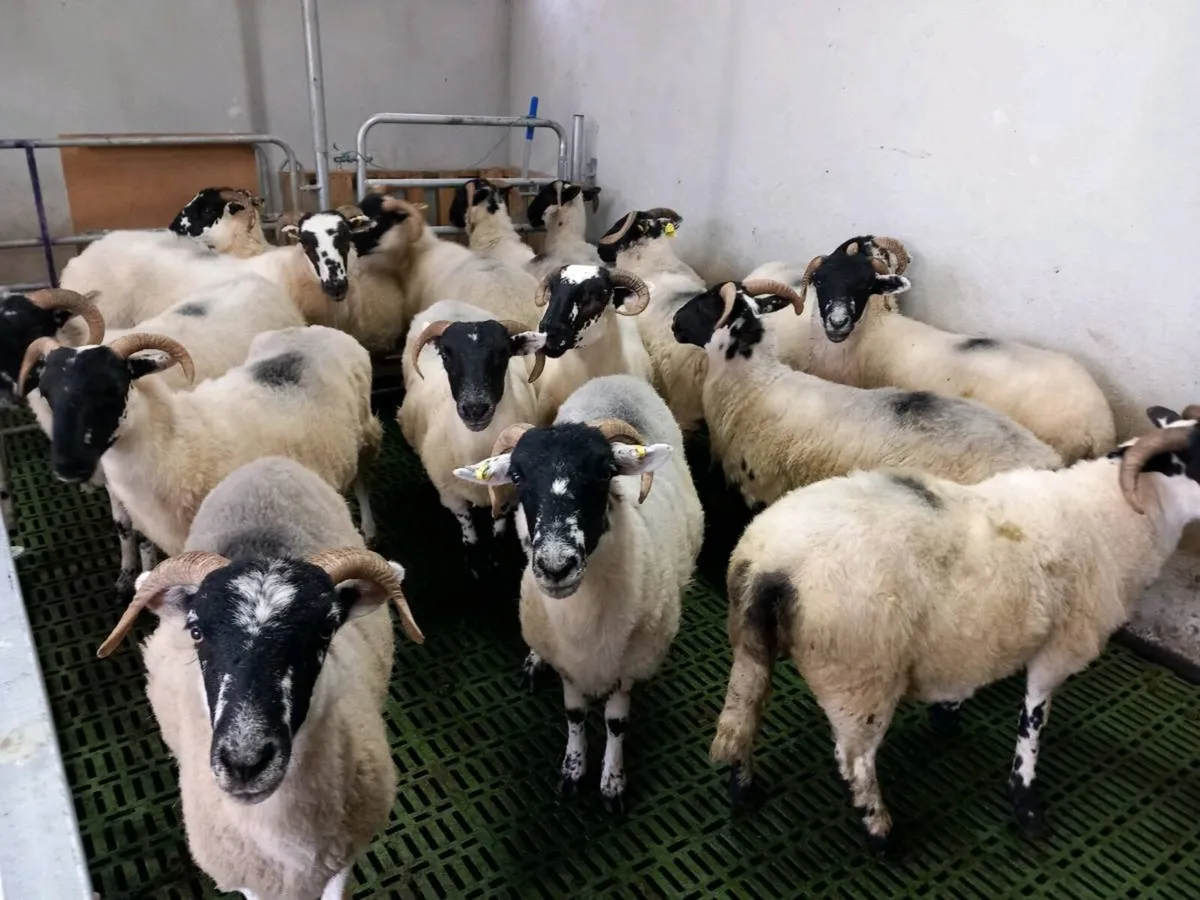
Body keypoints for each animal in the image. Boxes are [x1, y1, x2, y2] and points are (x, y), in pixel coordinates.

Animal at [19, 324, 382, 591]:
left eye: (113, 388)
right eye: (46, 393)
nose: (69, 466)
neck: (180, 444)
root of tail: (320, 329)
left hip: (365, 430)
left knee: (363, 475)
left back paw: (369, 526)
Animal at [95, 455, 423, 900]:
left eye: (326, 629)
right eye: (195, 630)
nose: (245, 762)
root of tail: (269, 462)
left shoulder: (342, 859)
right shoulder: (250, 878)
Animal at [398, 300, 545, 576]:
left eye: (503, 353)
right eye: (446, 355)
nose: (475, 409)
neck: (477, 448)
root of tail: (450, 302)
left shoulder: (507, 493)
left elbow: (499, 524)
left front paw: (495, 558)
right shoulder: (451, 496)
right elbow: (468, 528)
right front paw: (475, 561)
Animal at [453, 374, 704, 811]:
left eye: (605, 472)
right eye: (516, 477)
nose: (556, 567)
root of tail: (619, 378)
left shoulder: (629, 665)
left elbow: (616, 723)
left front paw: (612, 782)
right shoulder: (568, 662)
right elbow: (574, 715)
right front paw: (573, 770)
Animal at [710, 404, 1200, 852]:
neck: (1116, 516)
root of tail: (771, 567)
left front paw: (947, 715)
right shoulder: (1060, 650)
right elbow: (1032, 727)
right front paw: (1026, 806)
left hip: (752, 644)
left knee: (743, 717)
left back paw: (744, 790)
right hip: (859, 676)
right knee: (855, 761)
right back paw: (881, 833)